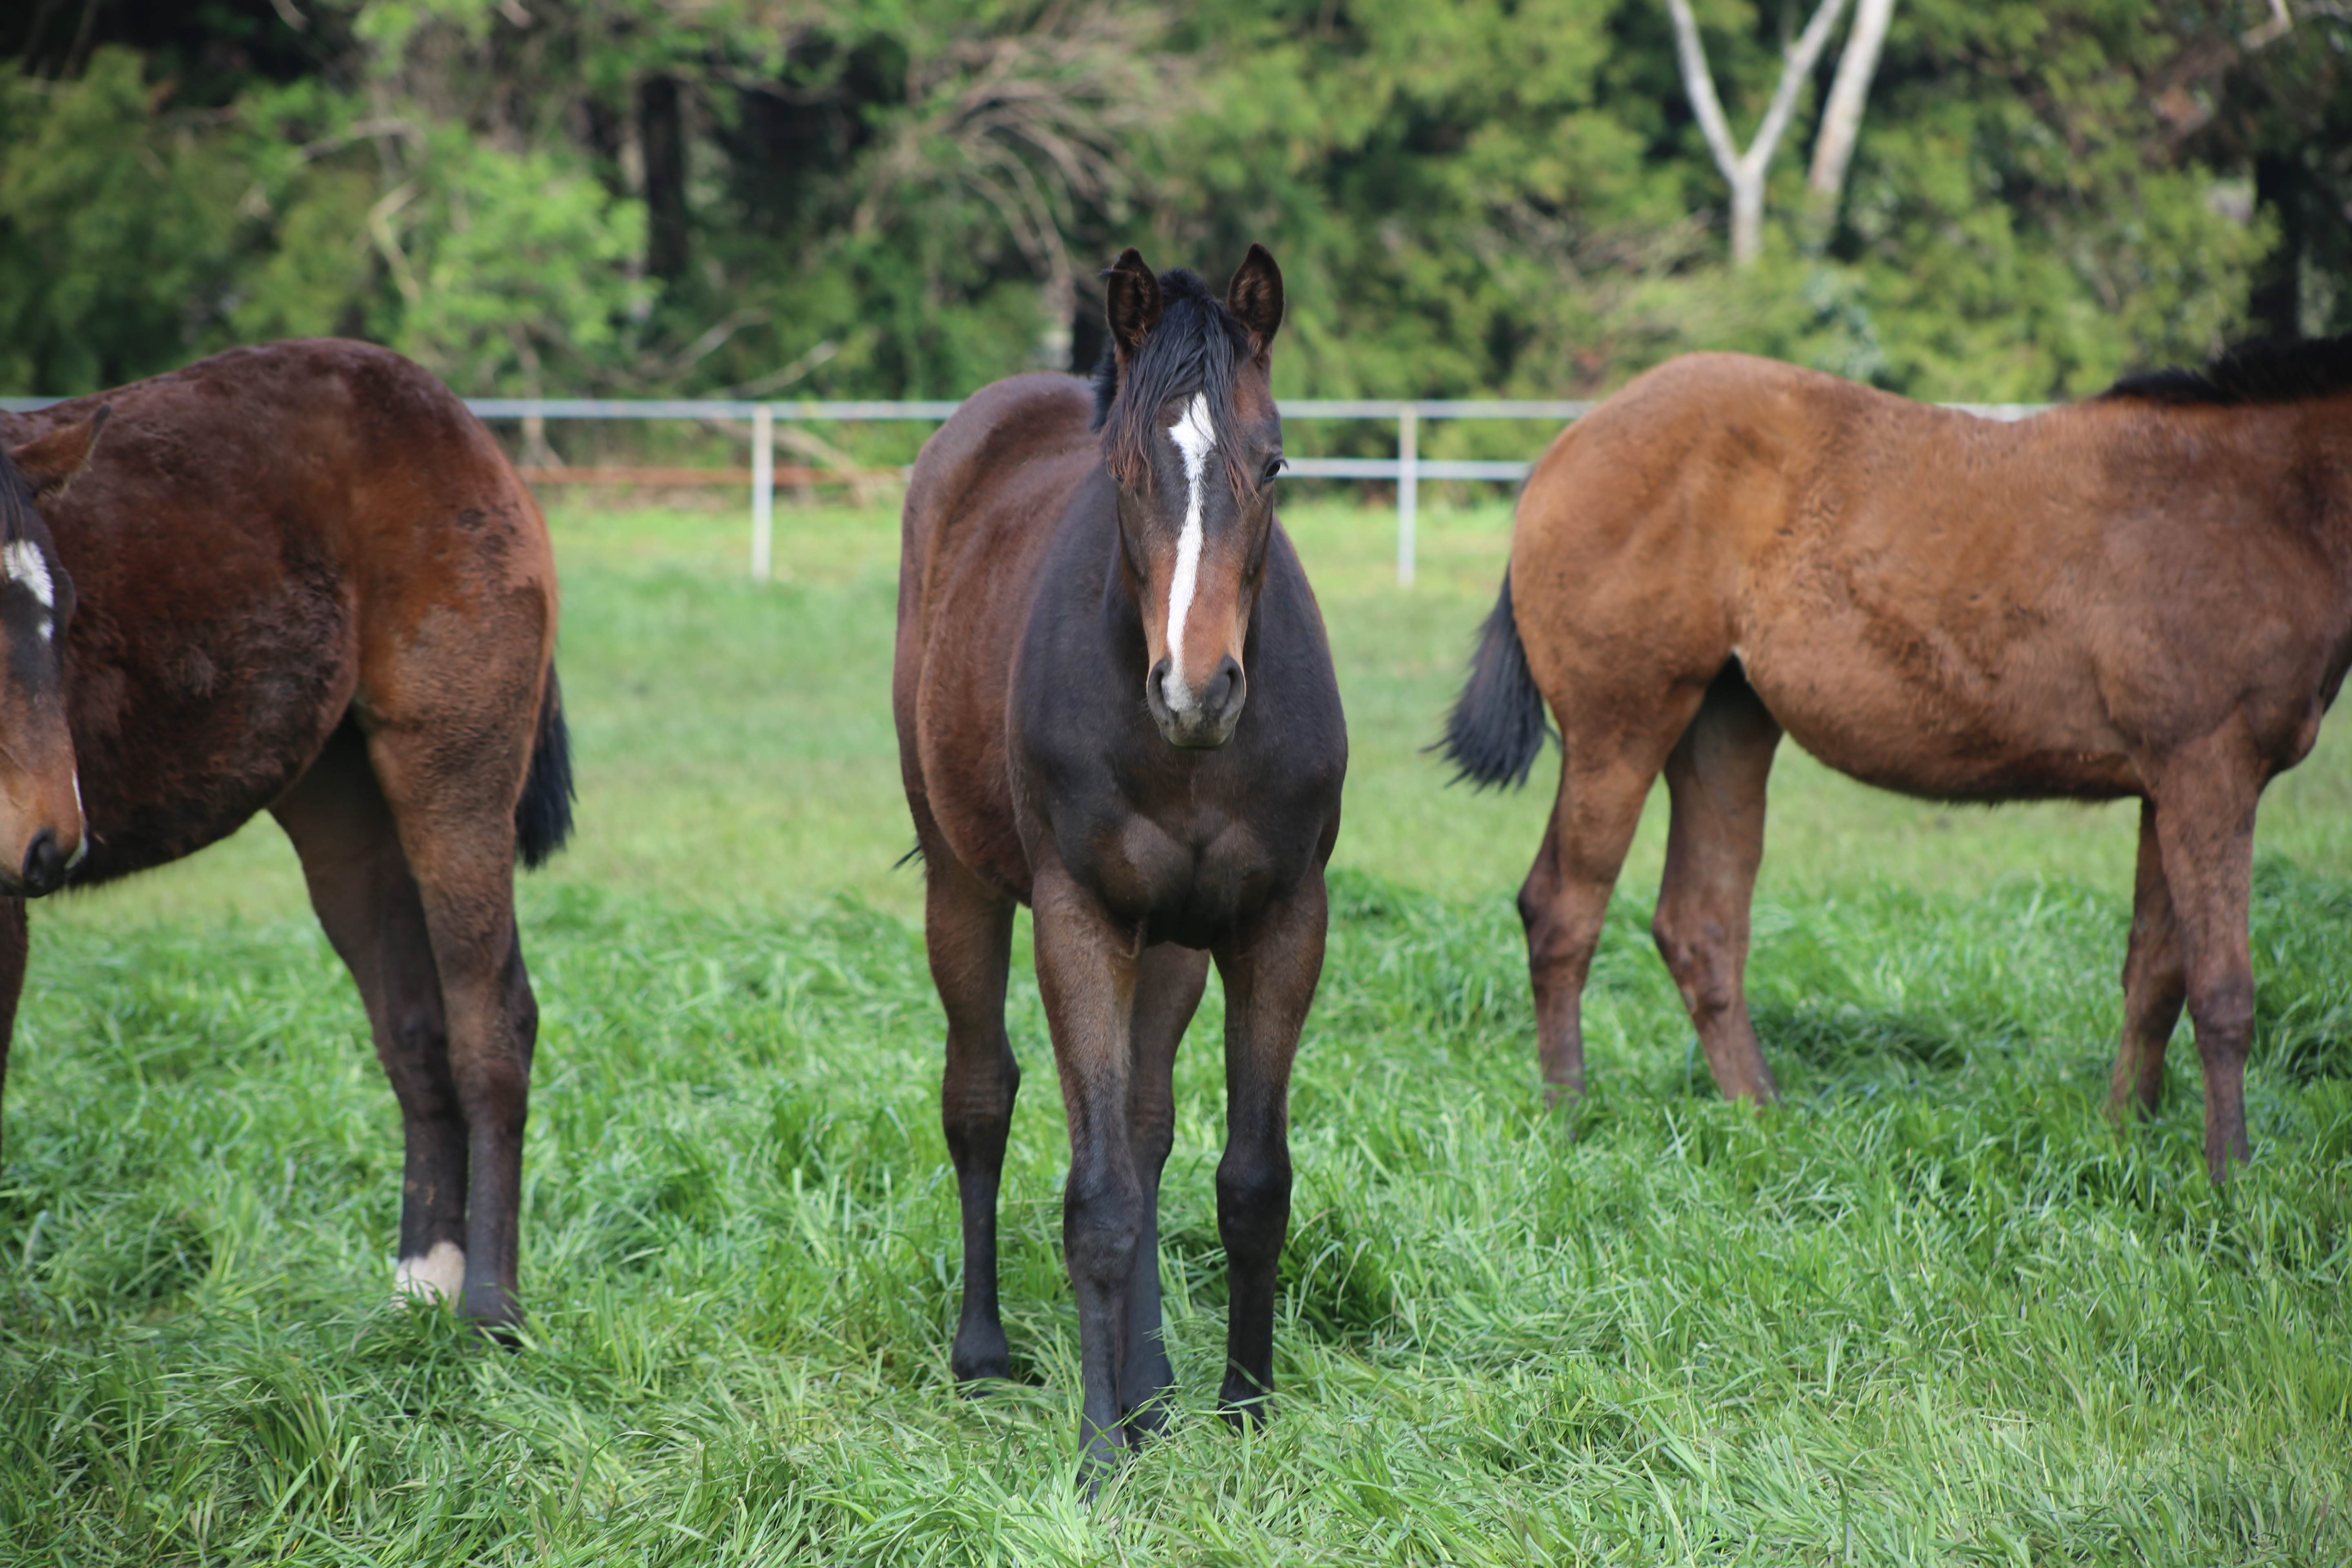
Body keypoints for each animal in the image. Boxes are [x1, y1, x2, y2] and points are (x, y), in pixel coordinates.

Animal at [1, 341, 569, 1326]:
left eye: (64, 607)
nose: (51, 843)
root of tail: (455, 417)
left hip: (454, 775)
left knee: (491, 1020)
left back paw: (491, 1313)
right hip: (344, 813)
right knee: (412, 1028)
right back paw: (422, 1287)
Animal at [893, 248, 1345, 1486]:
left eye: (1272, 461)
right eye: (1128, 474)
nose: (1196, 690)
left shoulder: (1280, 923)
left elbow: (1247, 1178)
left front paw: (1242, 1411)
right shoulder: (1079, 917)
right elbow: (1095, 1196)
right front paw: (1100, 1462)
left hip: (1176, 941)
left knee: (1144, 1127)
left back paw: (1151, 1386)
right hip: (960, 881)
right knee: (980, 1097)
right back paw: (988, 1355)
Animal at [1439, 339, 2352, 1185]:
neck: (2258, 508)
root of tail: (1565, 449)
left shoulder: (2166, 785)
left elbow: (2156, 975)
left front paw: (2127, 1141)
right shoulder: (2209, 769)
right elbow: (2223, 988)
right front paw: (2231, 1181)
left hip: (1724, 727)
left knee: (1700, 925)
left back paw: (1767, 1125)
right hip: (1621, 726)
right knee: (1563, 910)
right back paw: (1570, 1121)